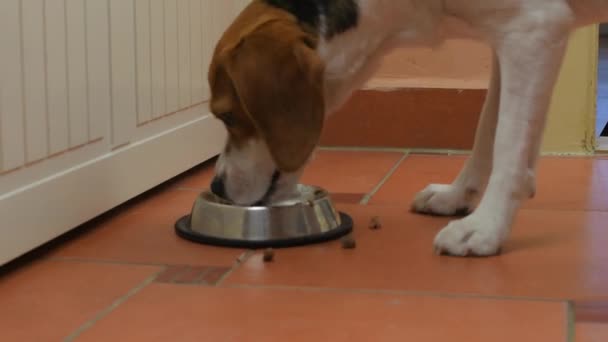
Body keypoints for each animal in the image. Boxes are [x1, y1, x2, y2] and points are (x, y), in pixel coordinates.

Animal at [207, 0, 604, 256]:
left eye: (227, 116)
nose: (217, 187)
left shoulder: (532, 30)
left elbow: (508, 146)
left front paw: (486, 227)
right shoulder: (507, 41)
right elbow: (487, 130)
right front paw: (458, 195)